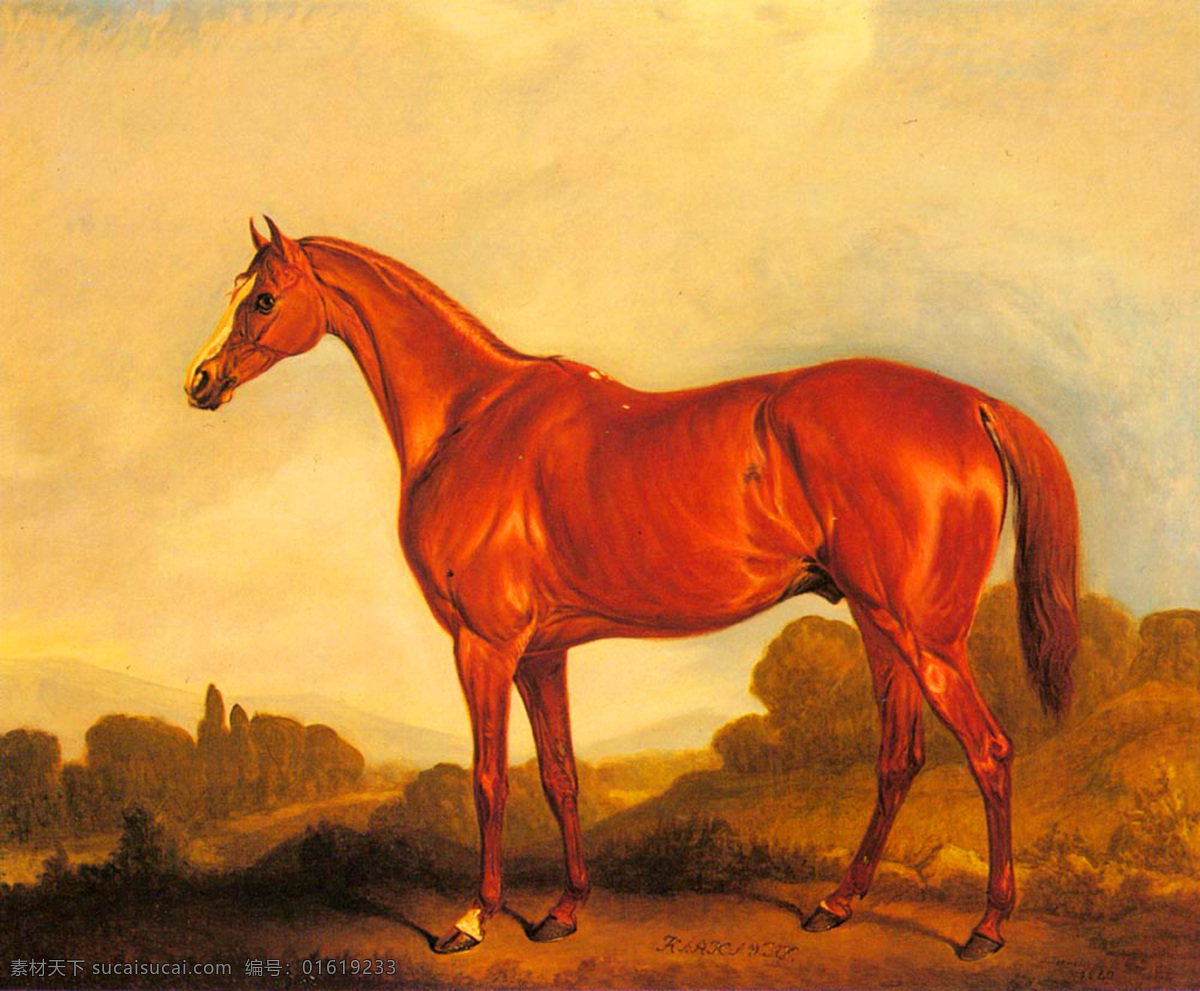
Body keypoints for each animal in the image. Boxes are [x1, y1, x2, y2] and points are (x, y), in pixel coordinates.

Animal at [185, 218, 1078, 961]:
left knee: (989, 751)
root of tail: (972, 403)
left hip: (925, 635)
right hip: (879, 624)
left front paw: (473, 918)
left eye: (262, 297)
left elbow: (487, 778)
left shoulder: (484, 645)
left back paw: (987, 927)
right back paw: (836, 903)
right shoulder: (540, 654)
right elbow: (560, 776)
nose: (198, 381)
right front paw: (563, 910)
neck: (475, 417)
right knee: (900, 756)